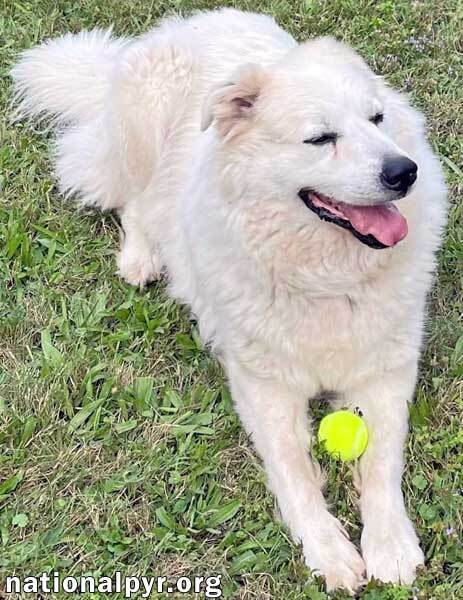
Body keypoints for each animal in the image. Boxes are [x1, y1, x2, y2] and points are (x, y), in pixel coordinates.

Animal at [12, 8, 448, 592]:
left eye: (377, 119)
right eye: (321, 138)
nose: (405, 172)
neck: (324, 278)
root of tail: (186, 24)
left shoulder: (384, 372)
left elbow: (381, 459)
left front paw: (391, 545)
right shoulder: (264, 388)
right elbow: (293, 472)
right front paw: (330, 552)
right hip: (143, 128)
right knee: (135, 201)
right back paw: (141, 257)